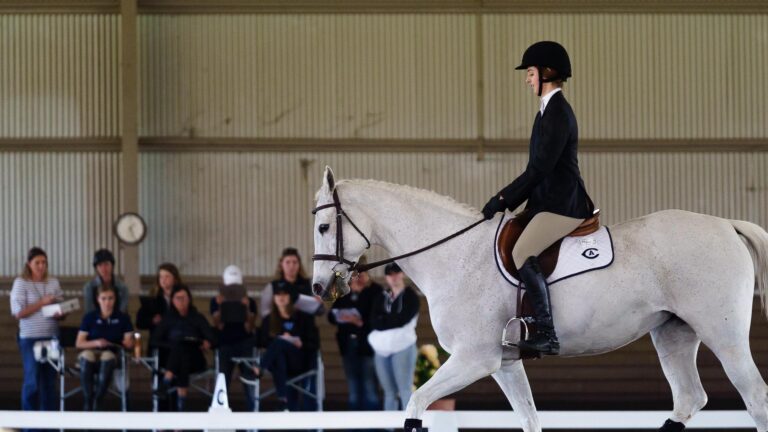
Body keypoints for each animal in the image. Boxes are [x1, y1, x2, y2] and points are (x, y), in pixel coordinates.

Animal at [308, 167, 764, 430]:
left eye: (324, 227)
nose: (318, 288)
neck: (454, 254)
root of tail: (727, 224)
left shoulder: (475, 359)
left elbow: (416, 403)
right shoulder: (505, 364)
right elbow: (529, 419)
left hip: (723, 336)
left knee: (755, 397)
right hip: (674, 334)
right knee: (689, 399)